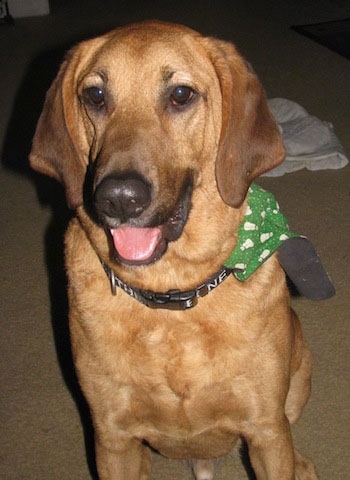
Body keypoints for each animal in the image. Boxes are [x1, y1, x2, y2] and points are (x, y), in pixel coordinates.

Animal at [30, 19, 320, 480]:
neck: (172, 297)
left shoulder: (265, 431)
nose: (118, 198)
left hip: (300, 369)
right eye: (95, 96)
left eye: (180, 94)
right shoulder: (113, 440)